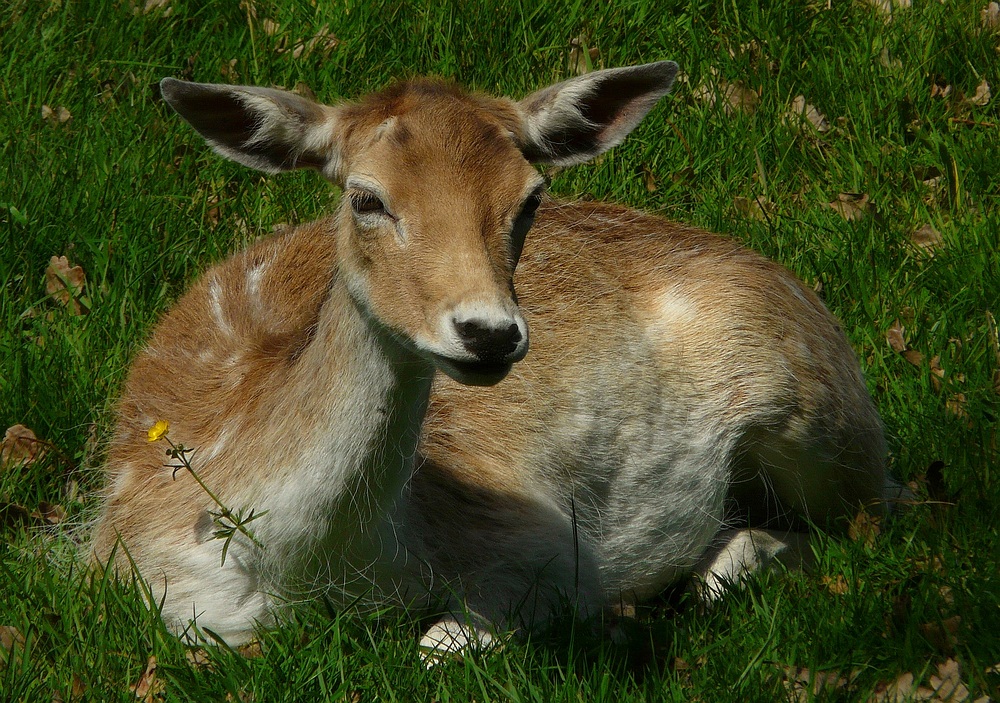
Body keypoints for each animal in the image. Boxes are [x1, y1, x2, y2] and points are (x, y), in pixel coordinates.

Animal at [92, 62, 892, 660]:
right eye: (365, 197)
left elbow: (439, 644)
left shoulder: (545, 544)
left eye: (531, 197)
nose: (489, 332)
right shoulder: (154, 585)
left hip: (815, 411)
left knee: (871, 521)